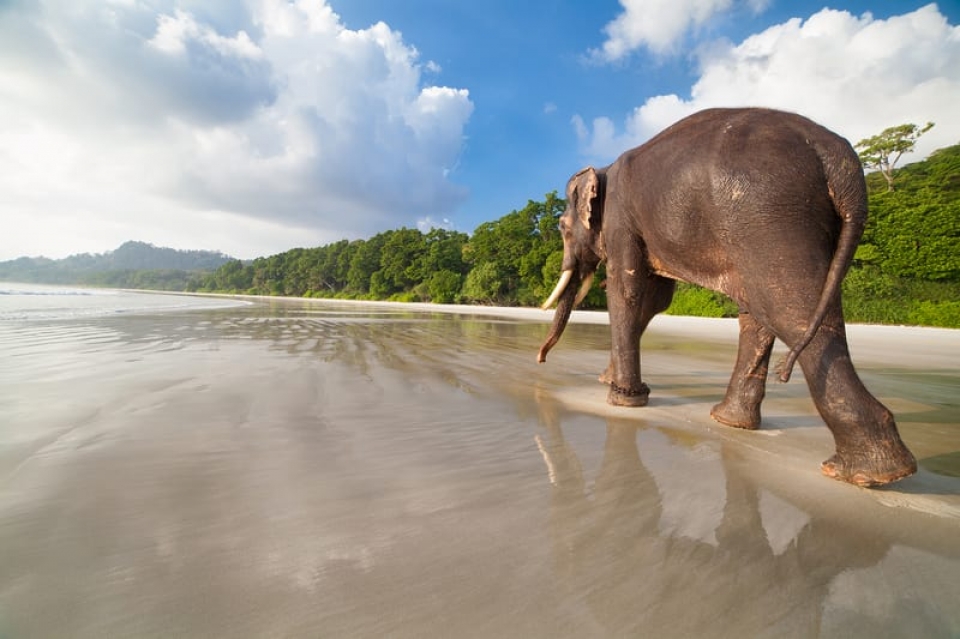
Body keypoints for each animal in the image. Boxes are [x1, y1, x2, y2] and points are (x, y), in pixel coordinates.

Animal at [537, 107, 917, 488]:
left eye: (561, 227)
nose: (540, 359)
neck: (602, 169)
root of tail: (838, 158)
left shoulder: (621, 219)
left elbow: (628, 290)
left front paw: (621, 399)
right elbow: (654, 299)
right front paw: (612, 382)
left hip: (766, 215)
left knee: (788, 309)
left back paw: (867, 473)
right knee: (771, 311)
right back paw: (732, 422)